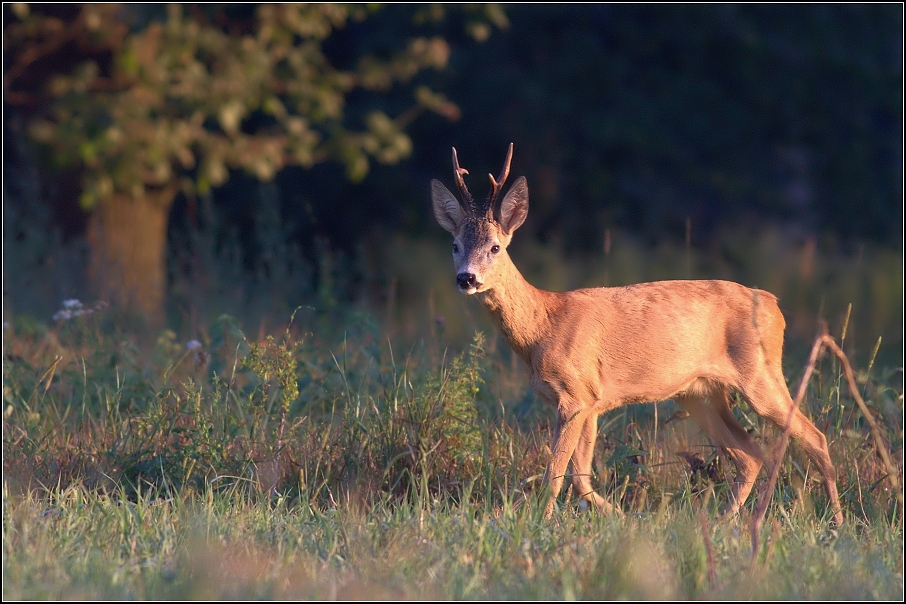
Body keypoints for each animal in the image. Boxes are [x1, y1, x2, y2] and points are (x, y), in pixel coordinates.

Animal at [430, 143, 840, 524]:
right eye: (454, 245)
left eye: (495, 247)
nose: (466, 278)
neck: (542, 327)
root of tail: (775, 306)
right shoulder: (592, 402)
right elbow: (581, 477)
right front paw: (621, 518)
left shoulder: (576, 395)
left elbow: (556, 472)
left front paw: (540, 523)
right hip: (701, 393)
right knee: (749, 454)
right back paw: (724, 522)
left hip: (760, 374)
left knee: (814, 438)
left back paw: (835, 520)